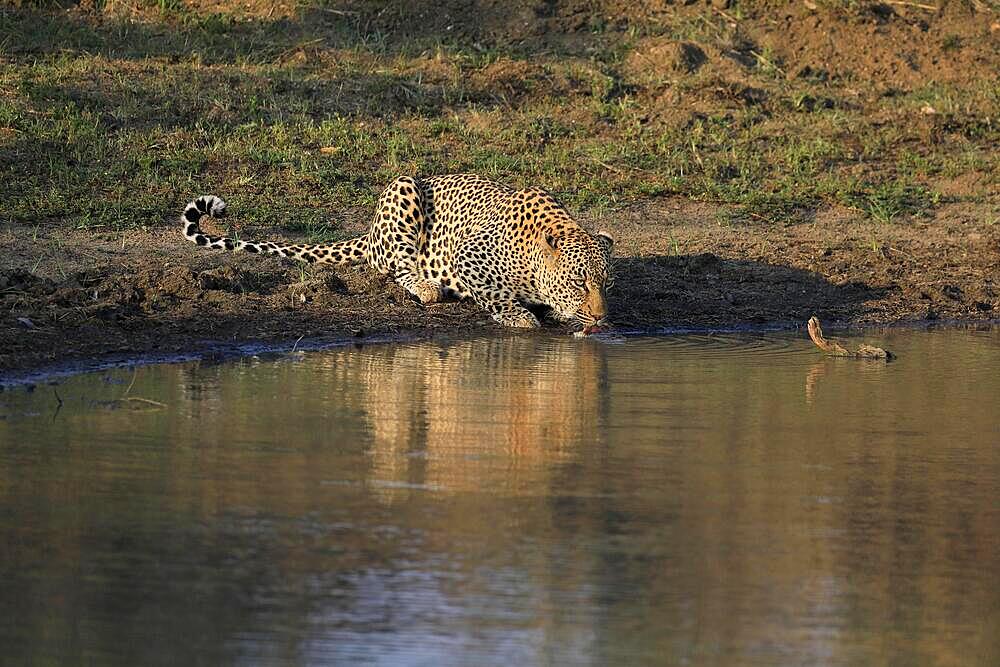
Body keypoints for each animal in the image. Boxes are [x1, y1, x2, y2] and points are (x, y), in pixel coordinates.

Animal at [183, 174, 612, 328]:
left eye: (606, 284)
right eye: (578, 282)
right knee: (395, 266)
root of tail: (370, 230)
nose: (601, 316)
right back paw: (427, 287)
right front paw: (521, 318)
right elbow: (494, 292)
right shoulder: (468, 253)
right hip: (403, 189)